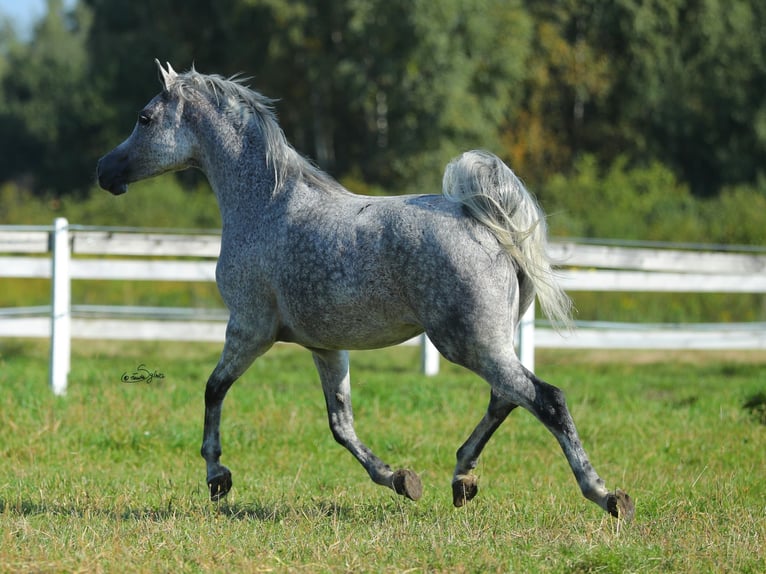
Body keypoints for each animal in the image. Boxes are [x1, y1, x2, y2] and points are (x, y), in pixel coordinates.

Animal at [96, 62, 636, 520]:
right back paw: (462, 479)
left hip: (468, 343)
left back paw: (606, 496)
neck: (265, 205)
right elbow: (341, 425)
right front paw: (400, 479)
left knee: (545, 398)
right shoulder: (325, 347)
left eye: (145, 118)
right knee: (505, 398)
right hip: (488, 341)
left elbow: (213, 389)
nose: (105, 171)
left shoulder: (249, 329)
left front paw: (217, 477)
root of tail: (489, 225)